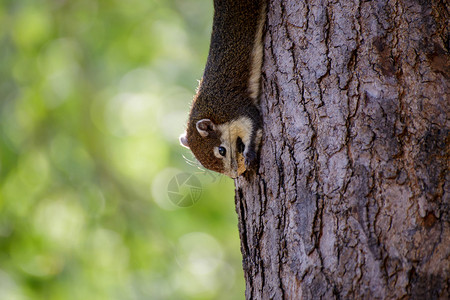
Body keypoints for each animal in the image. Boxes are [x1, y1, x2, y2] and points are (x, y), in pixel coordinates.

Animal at [179, 0, 266, 178]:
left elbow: (254, 126)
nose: (234, 175)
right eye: (204, 165)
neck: (211, 110)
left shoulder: (236, 109)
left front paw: (249, 154)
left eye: (221, 150)